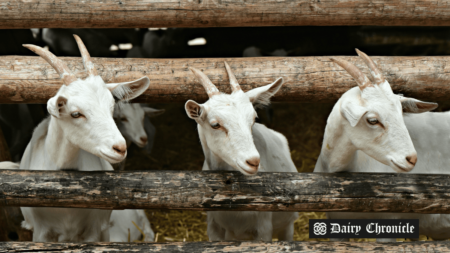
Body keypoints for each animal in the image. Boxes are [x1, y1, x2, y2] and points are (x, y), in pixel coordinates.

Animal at [186, 62, 298, 240]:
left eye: (254, 118)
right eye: (215, 124)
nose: (253, 161)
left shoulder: (263, 228)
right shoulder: (213, 227)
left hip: (288, 225)